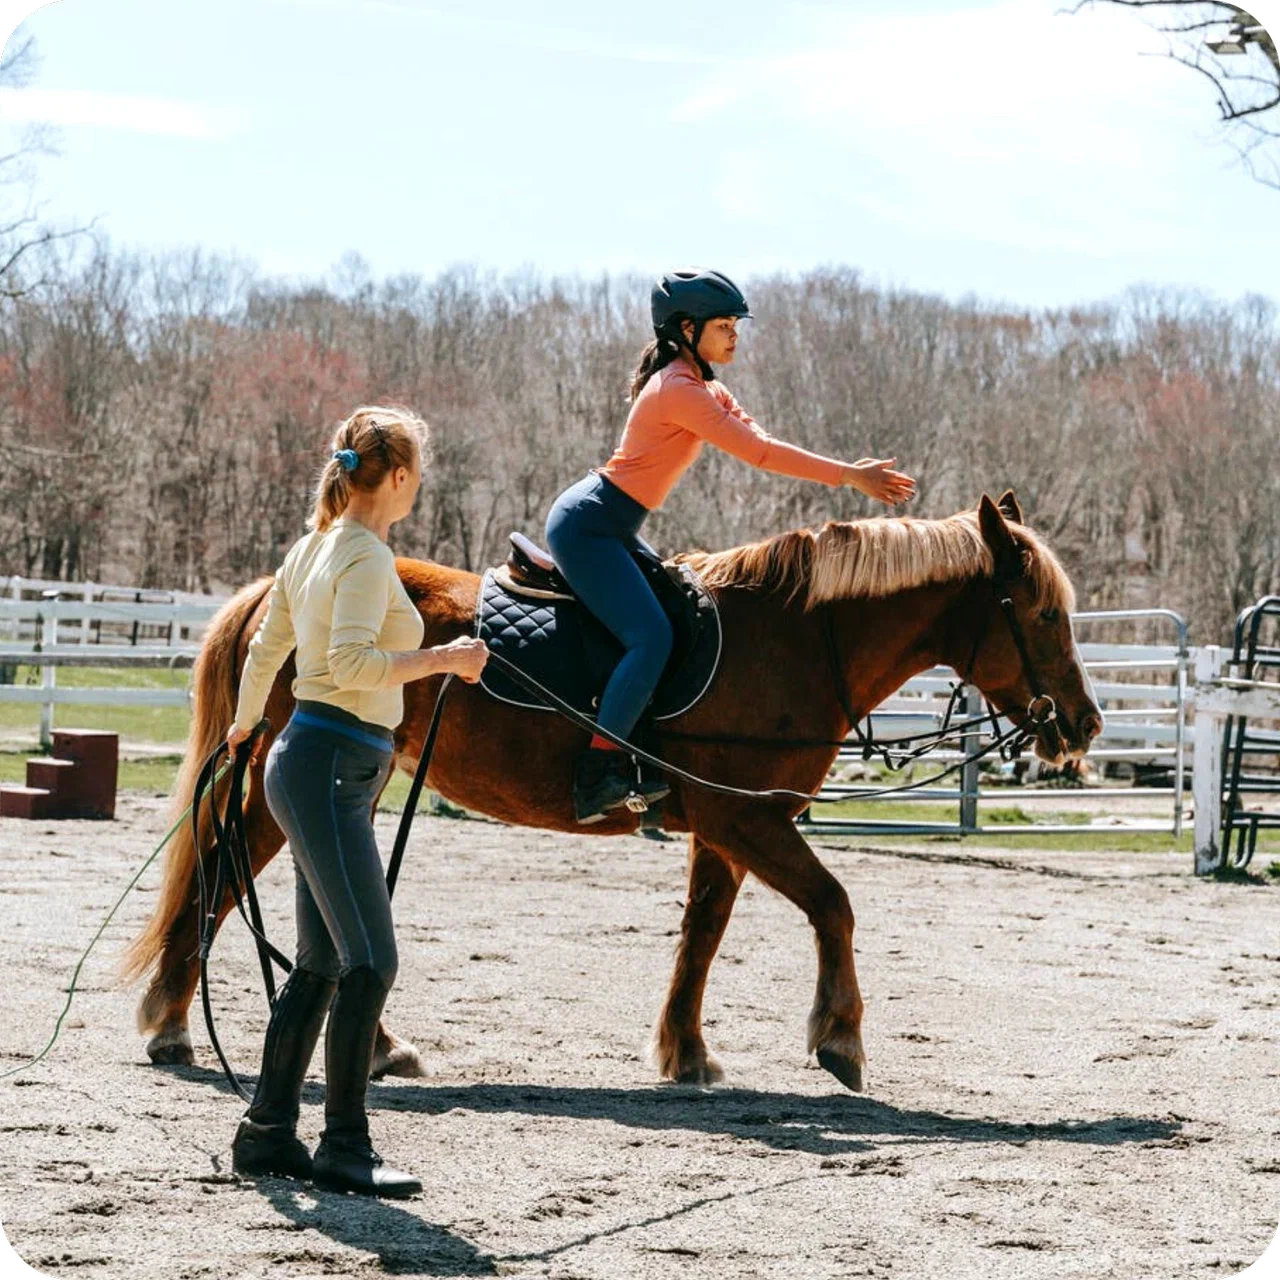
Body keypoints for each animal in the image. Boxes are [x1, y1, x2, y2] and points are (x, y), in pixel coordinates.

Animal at [122, 494, 1100, 1095]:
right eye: (1044, 612)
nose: (1083, 723)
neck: (792, 639)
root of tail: (282, 588)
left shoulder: (724, 826)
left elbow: (702, 936)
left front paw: (686, 1051)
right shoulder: (747, 817)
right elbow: (834, 903)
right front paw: (840, 1038)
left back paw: (377, 1043)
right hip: (281, 787)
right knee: (220, 875)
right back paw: (171, 1022)